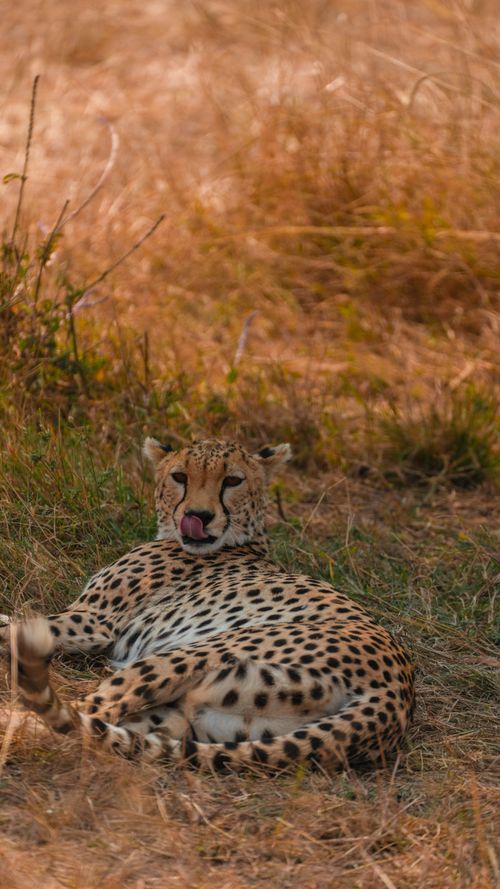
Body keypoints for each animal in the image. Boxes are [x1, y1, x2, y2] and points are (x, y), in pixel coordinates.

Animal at [3, 437, 415, 773]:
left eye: (232, 481)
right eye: (180, 477)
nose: (197, 517)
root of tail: (397, 694)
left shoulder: (93, 621)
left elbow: (10, 623)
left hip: (188, 655)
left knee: (90, 709)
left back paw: (9, 726)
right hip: (195, 718)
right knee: (102, 727)